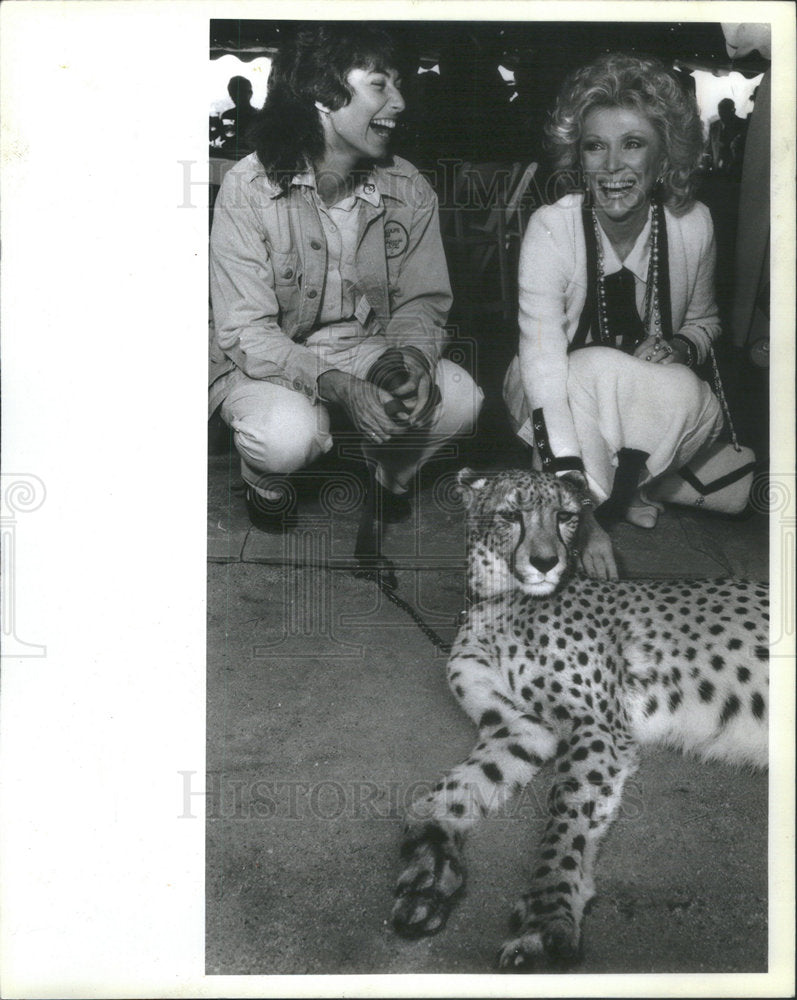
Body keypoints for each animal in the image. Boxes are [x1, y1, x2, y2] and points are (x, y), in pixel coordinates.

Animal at [390, 468, 764, 968]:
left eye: (566, 517)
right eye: (511, 515)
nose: (547, 561)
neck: (500, 601)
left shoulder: (594, 724)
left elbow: (566, 815)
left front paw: (546, 919)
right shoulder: (522, 726)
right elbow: (446, 794)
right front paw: (431, 868)